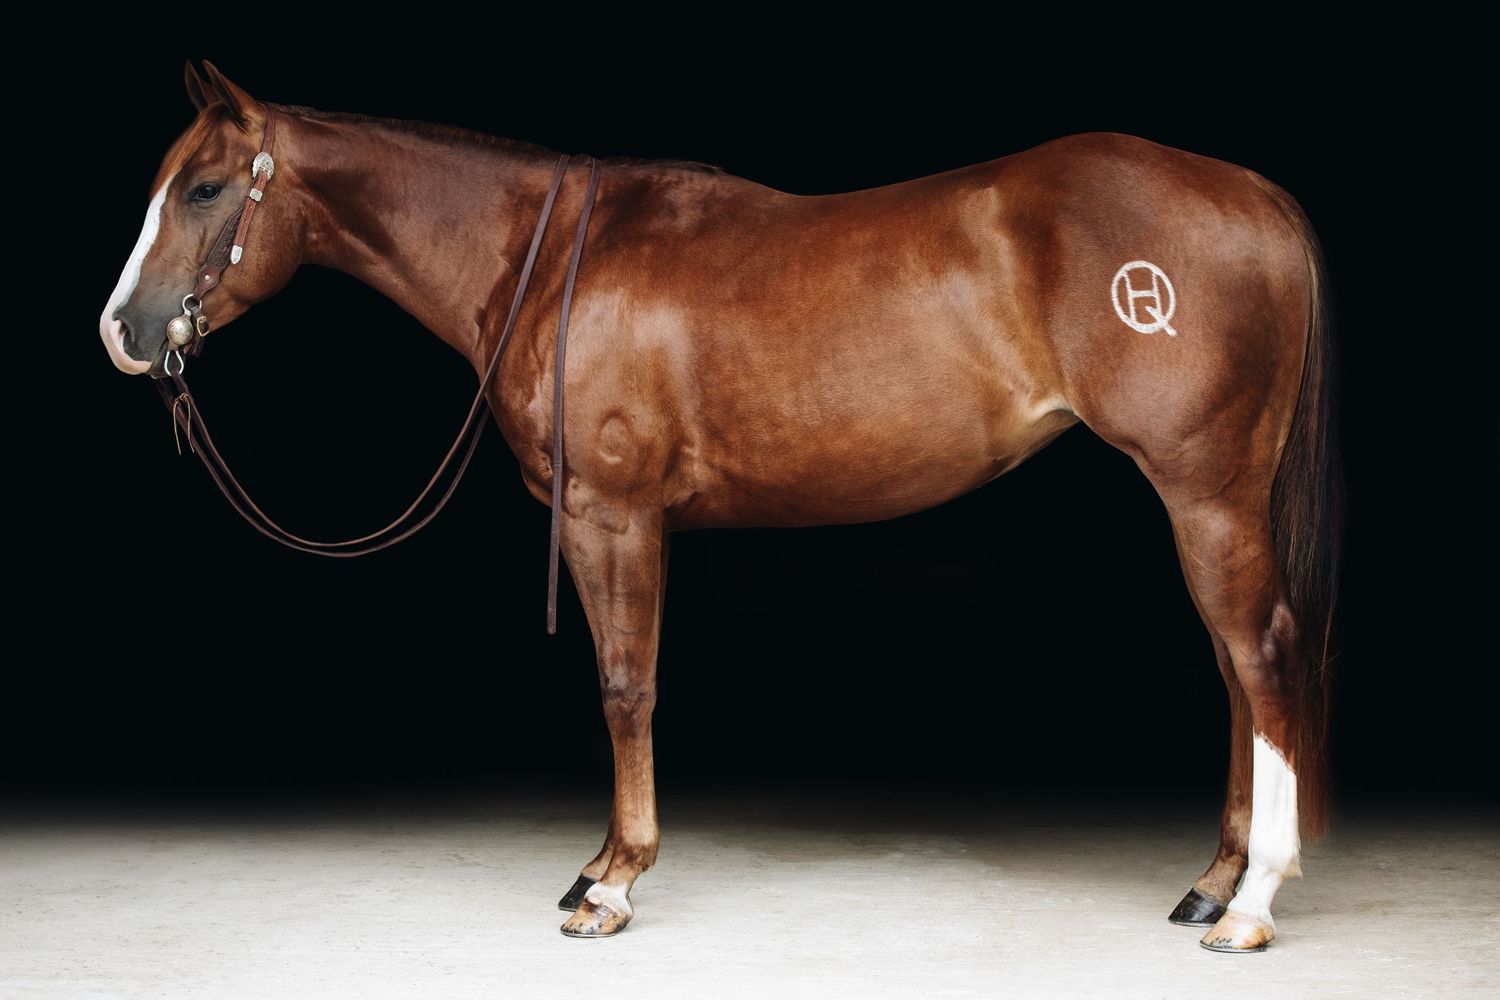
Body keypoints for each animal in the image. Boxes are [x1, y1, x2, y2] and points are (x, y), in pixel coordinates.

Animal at [99, 62, 1341, 950]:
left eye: (205, 188)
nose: (122, 331)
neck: (555, 259)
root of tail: (1250, 192)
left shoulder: (612, 516)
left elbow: (625, 687)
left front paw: (611, 884)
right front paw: (602, 867)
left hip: (1205, 490)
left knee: (1260, 655)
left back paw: (1250, 904)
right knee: (1236, 670)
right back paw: (1211, 882)